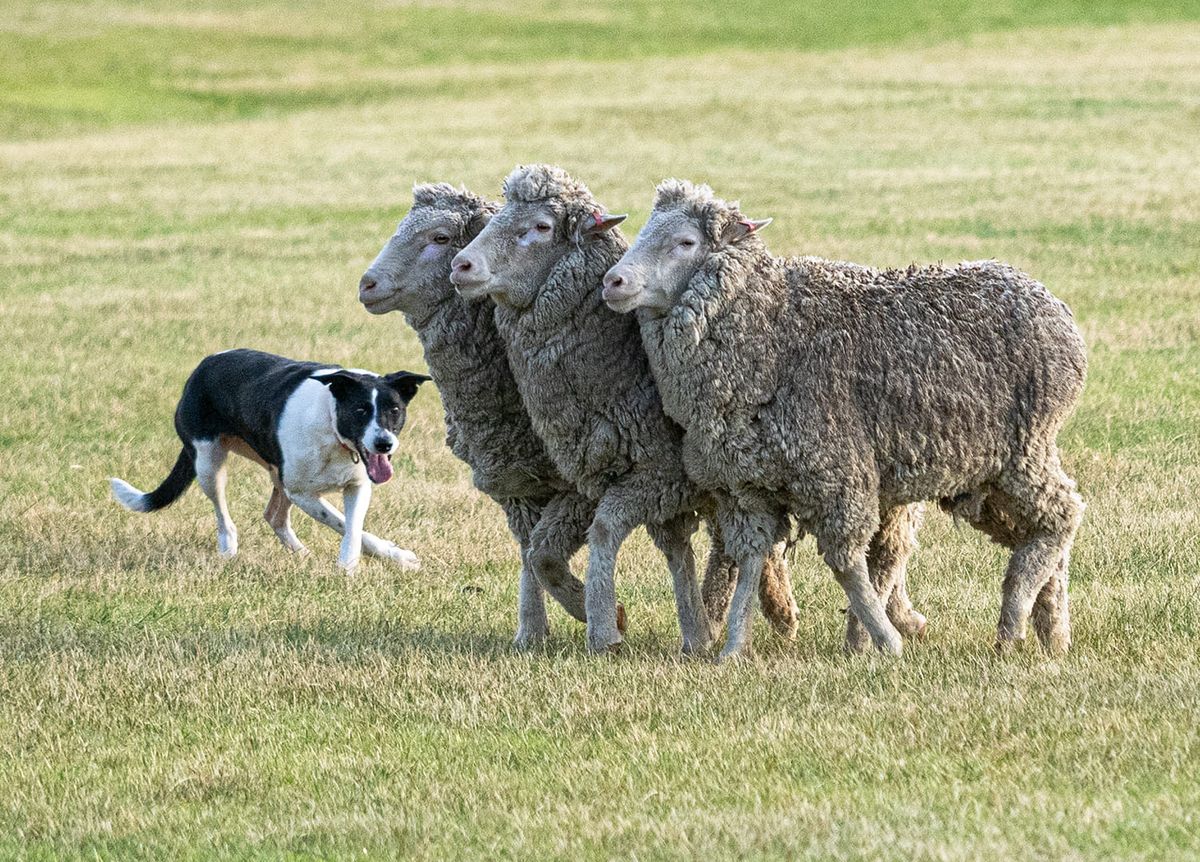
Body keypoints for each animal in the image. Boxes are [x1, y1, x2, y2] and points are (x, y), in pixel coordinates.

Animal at [112, 348, 432, 571]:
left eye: (394, 410)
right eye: (361, 411)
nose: (384, 443)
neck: (332, 424)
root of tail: (202, 367)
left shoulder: (357, 486)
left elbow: (353, 528)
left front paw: (384, 558)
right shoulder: (302, 493)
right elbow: (340, 523)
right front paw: (350, 567)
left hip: (276, 472)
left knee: (274, 516)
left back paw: (302, 554)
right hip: (208, 464)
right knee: (223, 514)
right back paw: (228, 549)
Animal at [352, 186, 600, 653]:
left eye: (442, 237)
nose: (367, 285)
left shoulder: (584, 483)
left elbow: (545, 556)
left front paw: (589, 610)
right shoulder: (517, 483)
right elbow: (530, 555)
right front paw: (531, 634)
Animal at [446, 165, 811, 657]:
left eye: (542, 226)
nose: (460, 266)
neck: (617, 361)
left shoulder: (660, 476)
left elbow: (604, 532)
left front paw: (605, 627)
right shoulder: (600, 479)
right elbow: (549, 551)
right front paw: (689, 630)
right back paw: (769, 613)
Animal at [604, 180, 1084, 662]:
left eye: (686, 242)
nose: (612, 281)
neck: (771, 332)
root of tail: (1056, 309)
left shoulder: (837, 473)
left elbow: (847, 564)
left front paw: (884, 640)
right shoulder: (745, 488)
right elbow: (752, 562)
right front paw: (736, 647)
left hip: (1023, 450)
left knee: (1063, 514)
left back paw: (1014, 623)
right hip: (984, 472)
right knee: (1039, 532)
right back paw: (1053, 630)